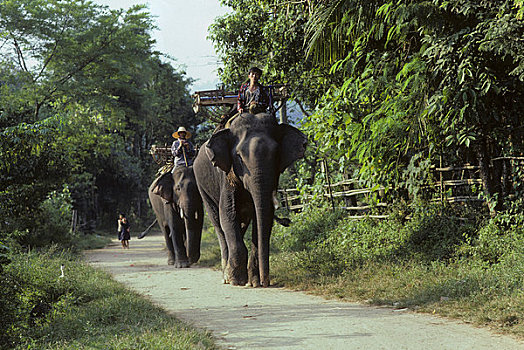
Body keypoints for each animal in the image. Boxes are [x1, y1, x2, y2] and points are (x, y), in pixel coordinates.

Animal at [193, 113, 308, 288]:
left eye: (276, 154)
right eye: (239, 157)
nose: (265, 282)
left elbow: (262, 219)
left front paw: (253, 282)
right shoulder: (226, 175)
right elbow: (227, 214)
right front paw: (237, 281)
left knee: (241, 224)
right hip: (202, 187)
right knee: (218, 223)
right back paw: (225, 276)